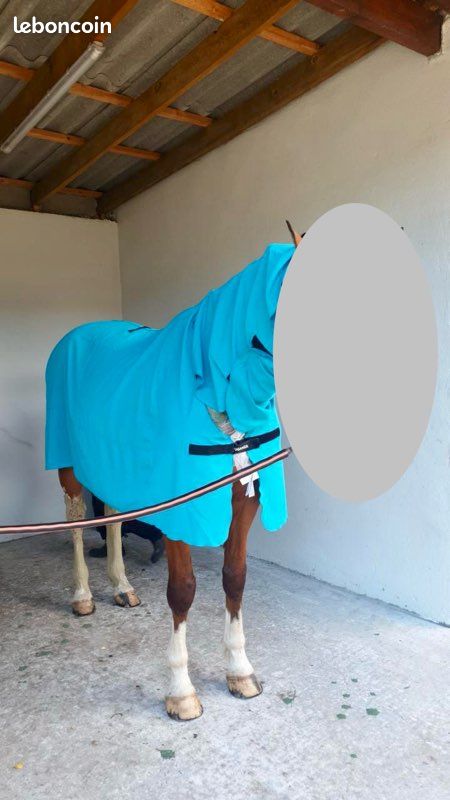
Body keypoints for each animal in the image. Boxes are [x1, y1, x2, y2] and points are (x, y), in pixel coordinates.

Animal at [46, 226, 301, 721]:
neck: (219, 392)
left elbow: (235, 577)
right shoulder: (185, 508)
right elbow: (182, 590)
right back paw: (83, 595)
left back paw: (122, 586)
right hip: (67, 463)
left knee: (113, 515)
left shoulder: (244, 498)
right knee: (76, 521)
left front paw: (240, 671)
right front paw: (181, 692)